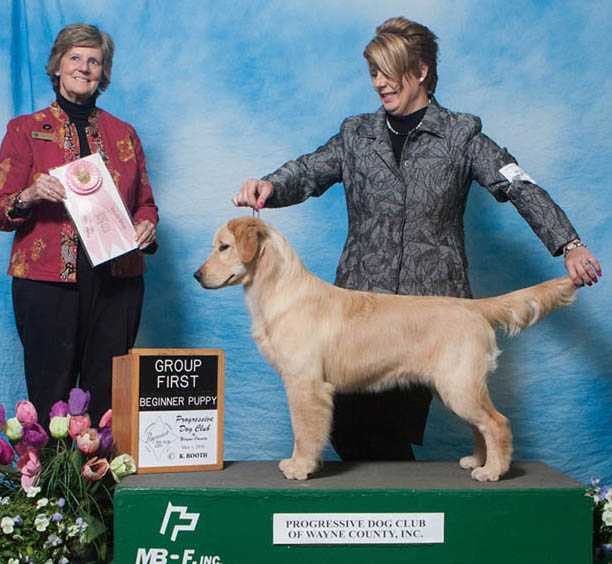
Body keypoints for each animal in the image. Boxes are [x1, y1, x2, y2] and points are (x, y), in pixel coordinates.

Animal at [195, 218, 580, 482]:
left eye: (224, 247)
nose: (197, 275)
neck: (278, 291)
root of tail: (473, 307)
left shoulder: (306, 383)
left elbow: (304, 430)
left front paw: (300, 466)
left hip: (459, 385)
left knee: (498, 423)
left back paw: (492, 471)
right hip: (457, 387)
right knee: (481, 426)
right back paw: (477, 460)